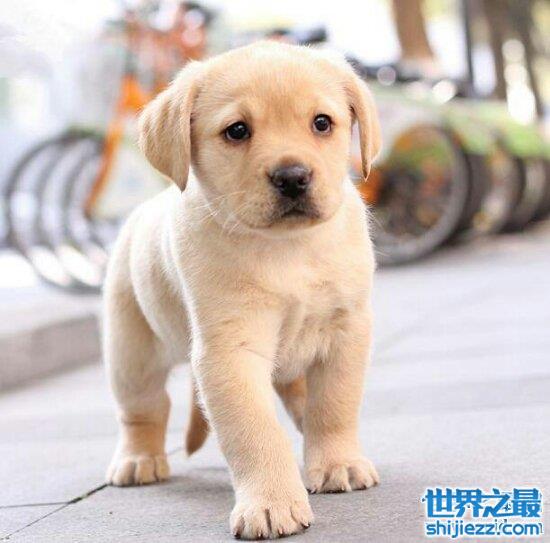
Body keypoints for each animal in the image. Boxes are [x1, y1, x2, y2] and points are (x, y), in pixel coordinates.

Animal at [104, 41, 381, 540]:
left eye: (322, 123)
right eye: (237, 131)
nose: (292, 177)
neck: (288, 249)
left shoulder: (345, 330)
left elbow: (334, 405)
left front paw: (338, 463)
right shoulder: (230, 351)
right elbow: (255, 432)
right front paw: (270, 503)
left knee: (302, 403)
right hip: (131, 350)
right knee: (143, 408)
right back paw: (138, 459)